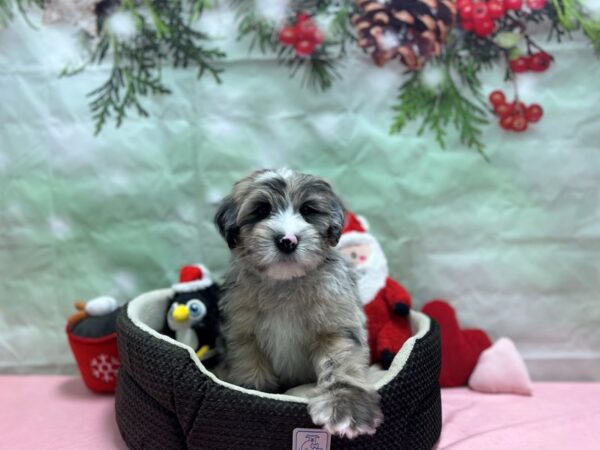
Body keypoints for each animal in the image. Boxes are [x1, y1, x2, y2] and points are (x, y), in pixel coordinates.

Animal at [214, 170, 384, 440]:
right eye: (261, 210)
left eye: (307, 210)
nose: (288, 240)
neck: (286, 284)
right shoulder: (243, 335)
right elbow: (250, 368)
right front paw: (255, 395)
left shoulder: (336, 326)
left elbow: (340, 363)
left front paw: (346, 405)